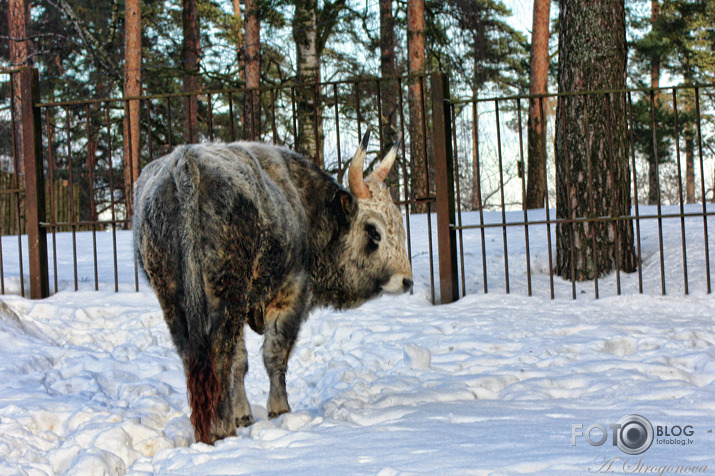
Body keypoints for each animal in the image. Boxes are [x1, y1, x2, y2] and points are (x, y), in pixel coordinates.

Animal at [134, 132, 412, 444]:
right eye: (373, 230)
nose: (406, 280)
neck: (303, 203)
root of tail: (185, 162)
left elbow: (241, 363)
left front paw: (243, 413)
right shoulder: (290, 295)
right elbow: (274, 355)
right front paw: (279, 409)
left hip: (174, 299)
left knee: (192, 357)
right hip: (227, 296)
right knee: (219, 356)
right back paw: (222, 428)